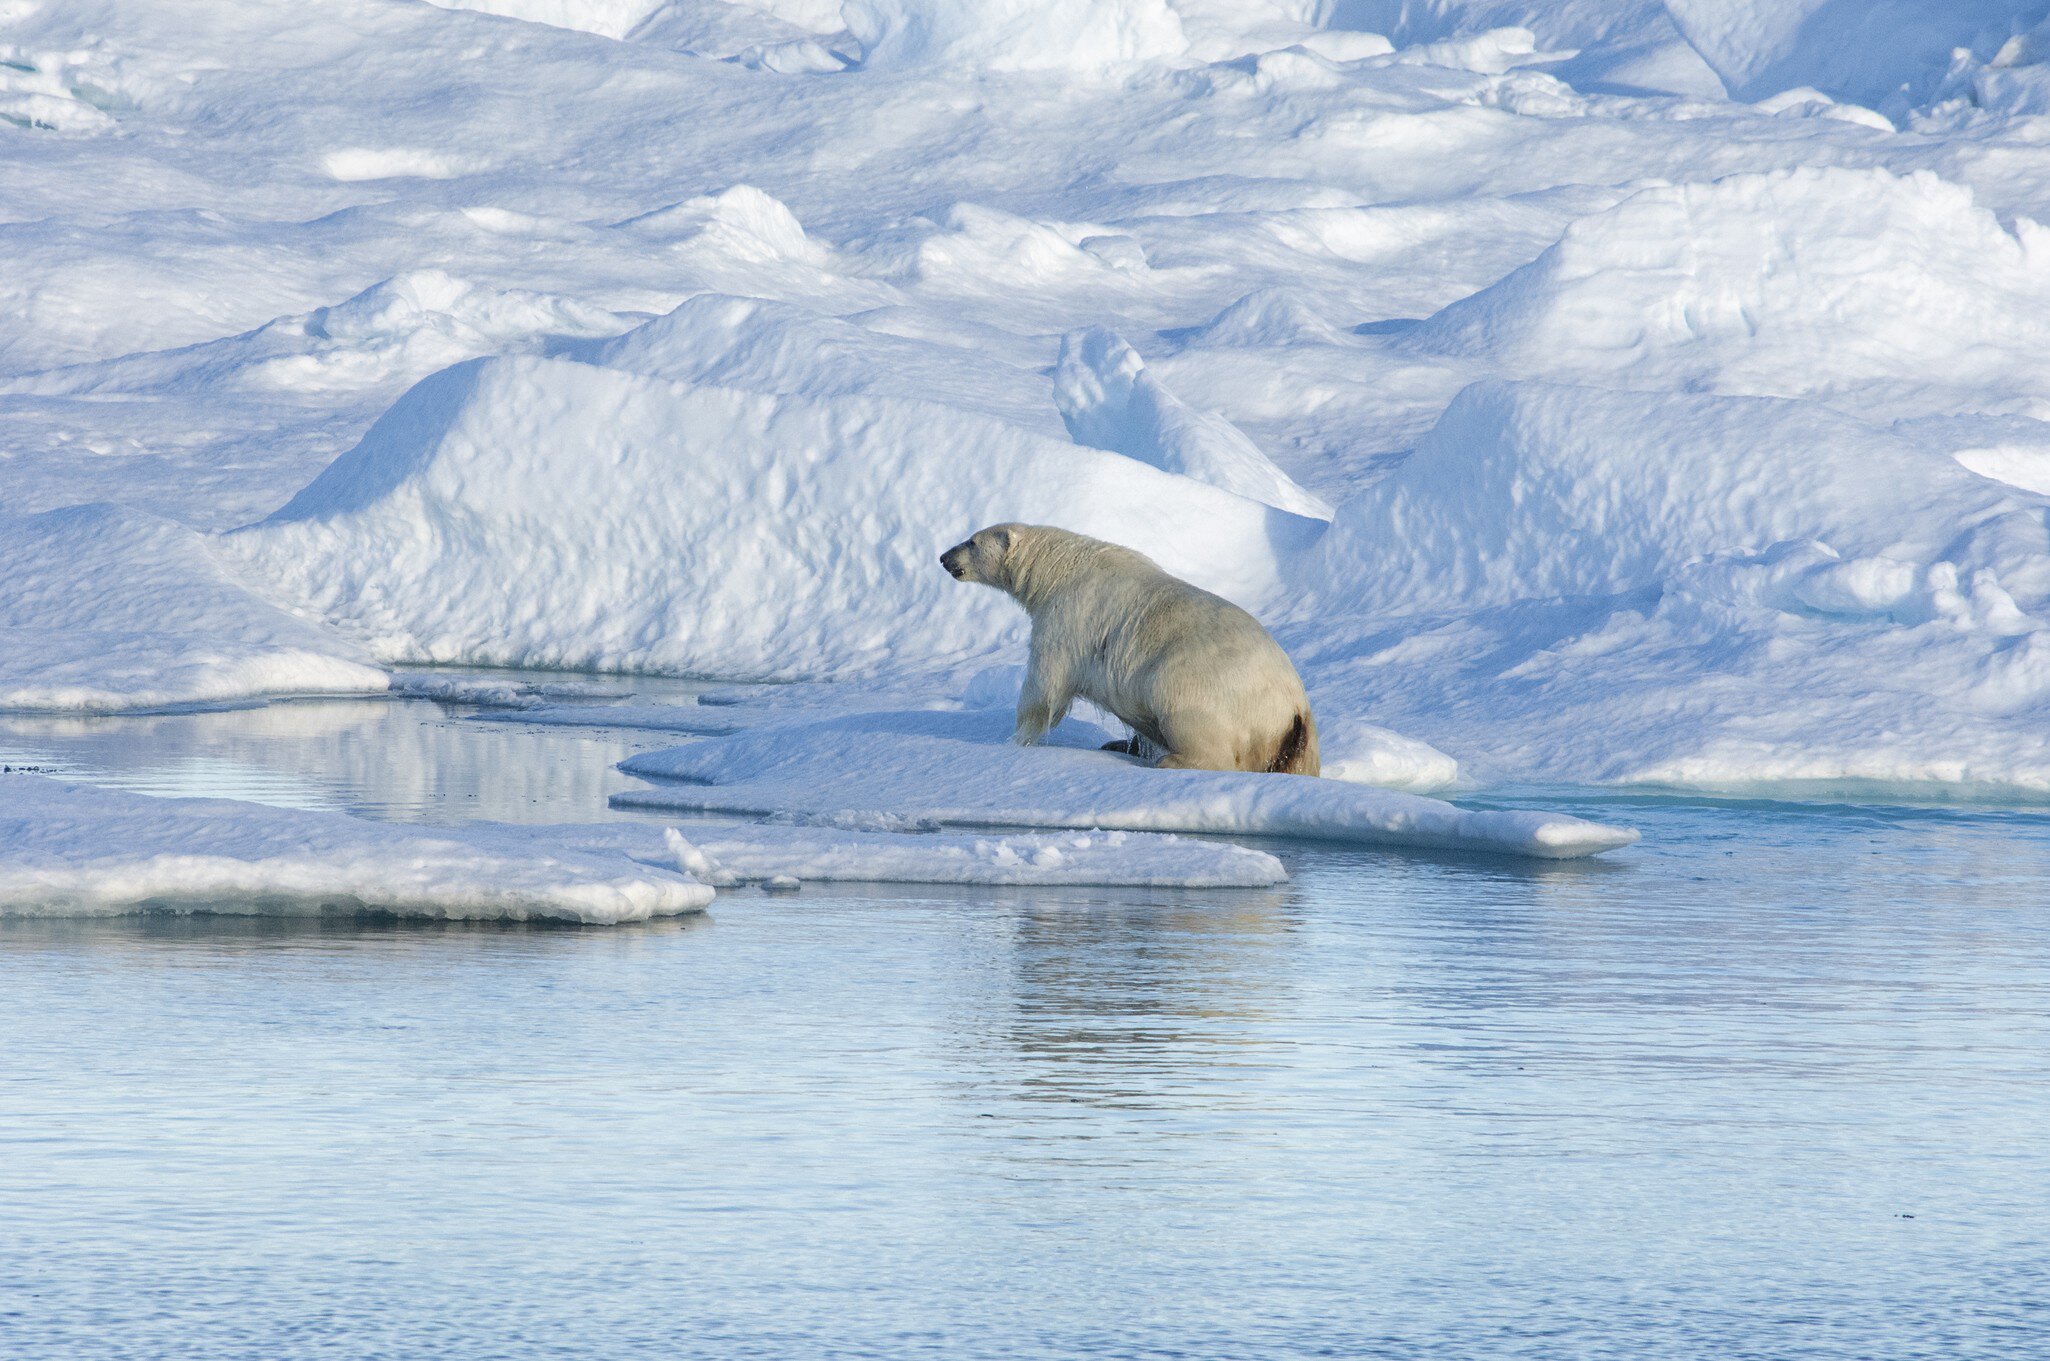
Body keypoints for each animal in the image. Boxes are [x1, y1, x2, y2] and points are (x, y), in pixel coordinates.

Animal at [940, 523, 1319, 776]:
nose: (944, 557)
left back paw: (1171, 759)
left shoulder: (1070, 617)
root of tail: (1294, 706)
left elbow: (1044, 684)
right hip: (1297, 744)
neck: (1059, 567)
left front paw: (1012, 742)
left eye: (972, 541)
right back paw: (1121, 745)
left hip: (1204, 683)